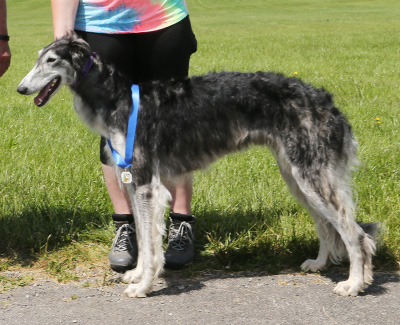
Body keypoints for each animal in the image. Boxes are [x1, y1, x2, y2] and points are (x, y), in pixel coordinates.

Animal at [16, 34, 378, 296]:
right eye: (37, 58)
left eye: (51, 60)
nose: (21, 88)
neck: (118, 98)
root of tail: (326, 100)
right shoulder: (134, 182)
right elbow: (144, 239)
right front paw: (136, 275)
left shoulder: (147, 185)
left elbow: (152, 244)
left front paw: (144, 286)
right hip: (297, 176)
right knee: (327, 226)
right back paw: (320, 263)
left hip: (311, 176)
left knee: (356, 235)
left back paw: (354, 284)